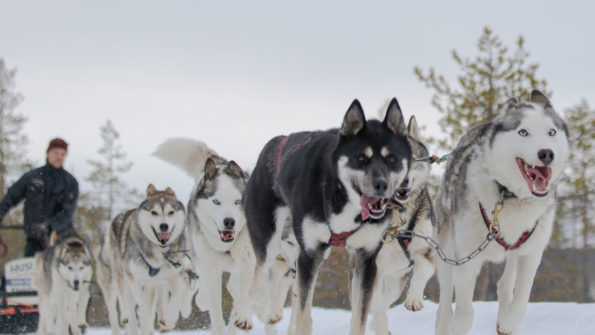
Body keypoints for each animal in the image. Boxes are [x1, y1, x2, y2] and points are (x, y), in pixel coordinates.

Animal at [96, 185, 193, 334]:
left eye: (171, 212)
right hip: (117, 278)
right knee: (123, 309)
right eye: (154, 212)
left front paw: (168, 320)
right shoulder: (132, 277)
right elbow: (143, 305)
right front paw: (145, 315)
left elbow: (177, 296)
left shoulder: (171, 276)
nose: (164, 226)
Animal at [155, 138, 255, 334]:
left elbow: (244, 292)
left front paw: (243, 317)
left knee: (234, 287)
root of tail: (217, 161)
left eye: (237, 201)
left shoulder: (248, 263)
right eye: (216, 201)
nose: (229, 222)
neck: (227, 247)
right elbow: (215, 309)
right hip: (200, 258)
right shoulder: (211, 270)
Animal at [244, 100, 412, 335]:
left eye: (392, 160)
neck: (340, 195)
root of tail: (276, 143)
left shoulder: (366, 260)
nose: (381, 185)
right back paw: (250, 313)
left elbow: (359, 317)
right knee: (257, 280)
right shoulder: (310, 255)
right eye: (361, 158)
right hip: (269, 243)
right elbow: (303, 317)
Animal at [370, 116, 436, 335]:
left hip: (395, 282)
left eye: (413, 159)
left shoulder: (427, 252)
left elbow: (423, 270)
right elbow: (376, 305)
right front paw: (381, 327)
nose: (404, 181)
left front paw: (414, 299)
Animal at [436, 90, 572, 335]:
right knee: (444, 301)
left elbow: (521, 300)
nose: (547, 154)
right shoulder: (466, 257)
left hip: (515, 250)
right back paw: (443, 323)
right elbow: (463, 313)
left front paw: (508, 320)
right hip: (446, 249)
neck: (510, 196)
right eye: (523, 132)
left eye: (551, 132)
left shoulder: (531, 253)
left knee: (505, 283)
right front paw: (457, 325)